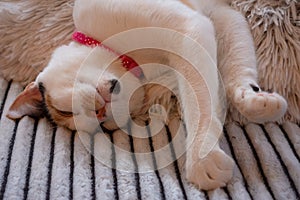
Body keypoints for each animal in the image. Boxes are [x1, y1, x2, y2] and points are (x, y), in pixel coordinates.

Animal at [5, 0, 286, 191]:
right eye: (102, 127)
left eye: (65, 110)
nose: (100, 113)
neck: (136, 59)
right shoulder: (220, 17)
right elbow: (233, 68)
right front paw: (252, 100)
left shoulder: (188, 28)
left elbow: (198, 98)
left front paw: (200, 156)